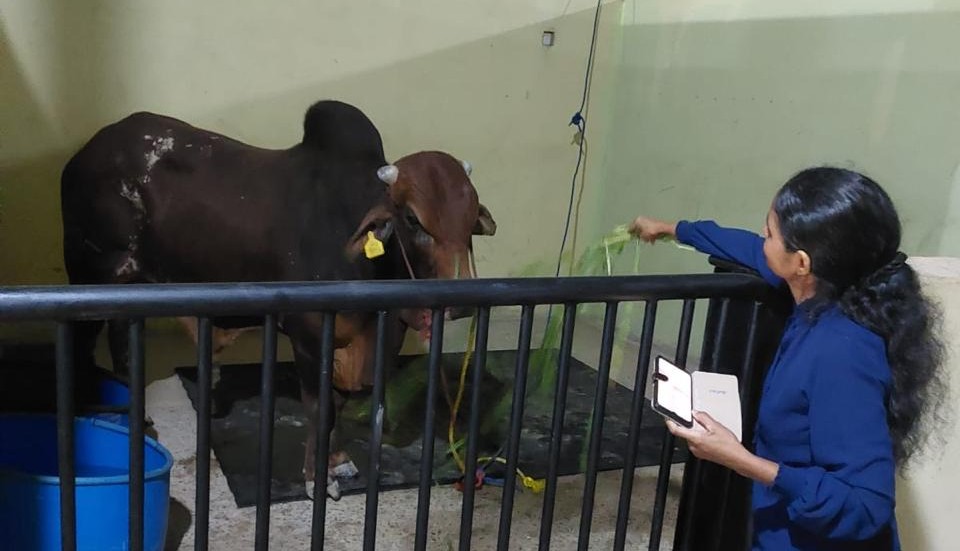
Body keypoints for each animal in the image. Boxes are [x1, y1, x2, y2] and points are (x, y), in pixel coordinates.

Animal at [60, 99, 497, 499]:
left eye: (470, 220)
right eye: (412, 219)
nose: (462, 298)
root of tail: (87, 151)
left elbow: (338, 405)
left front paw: (339, 462)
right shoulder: (307, 335)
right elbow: (321, 408)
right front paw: (316, 478)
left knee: (120, 343)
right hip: (92, 276)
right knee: (87, 345)